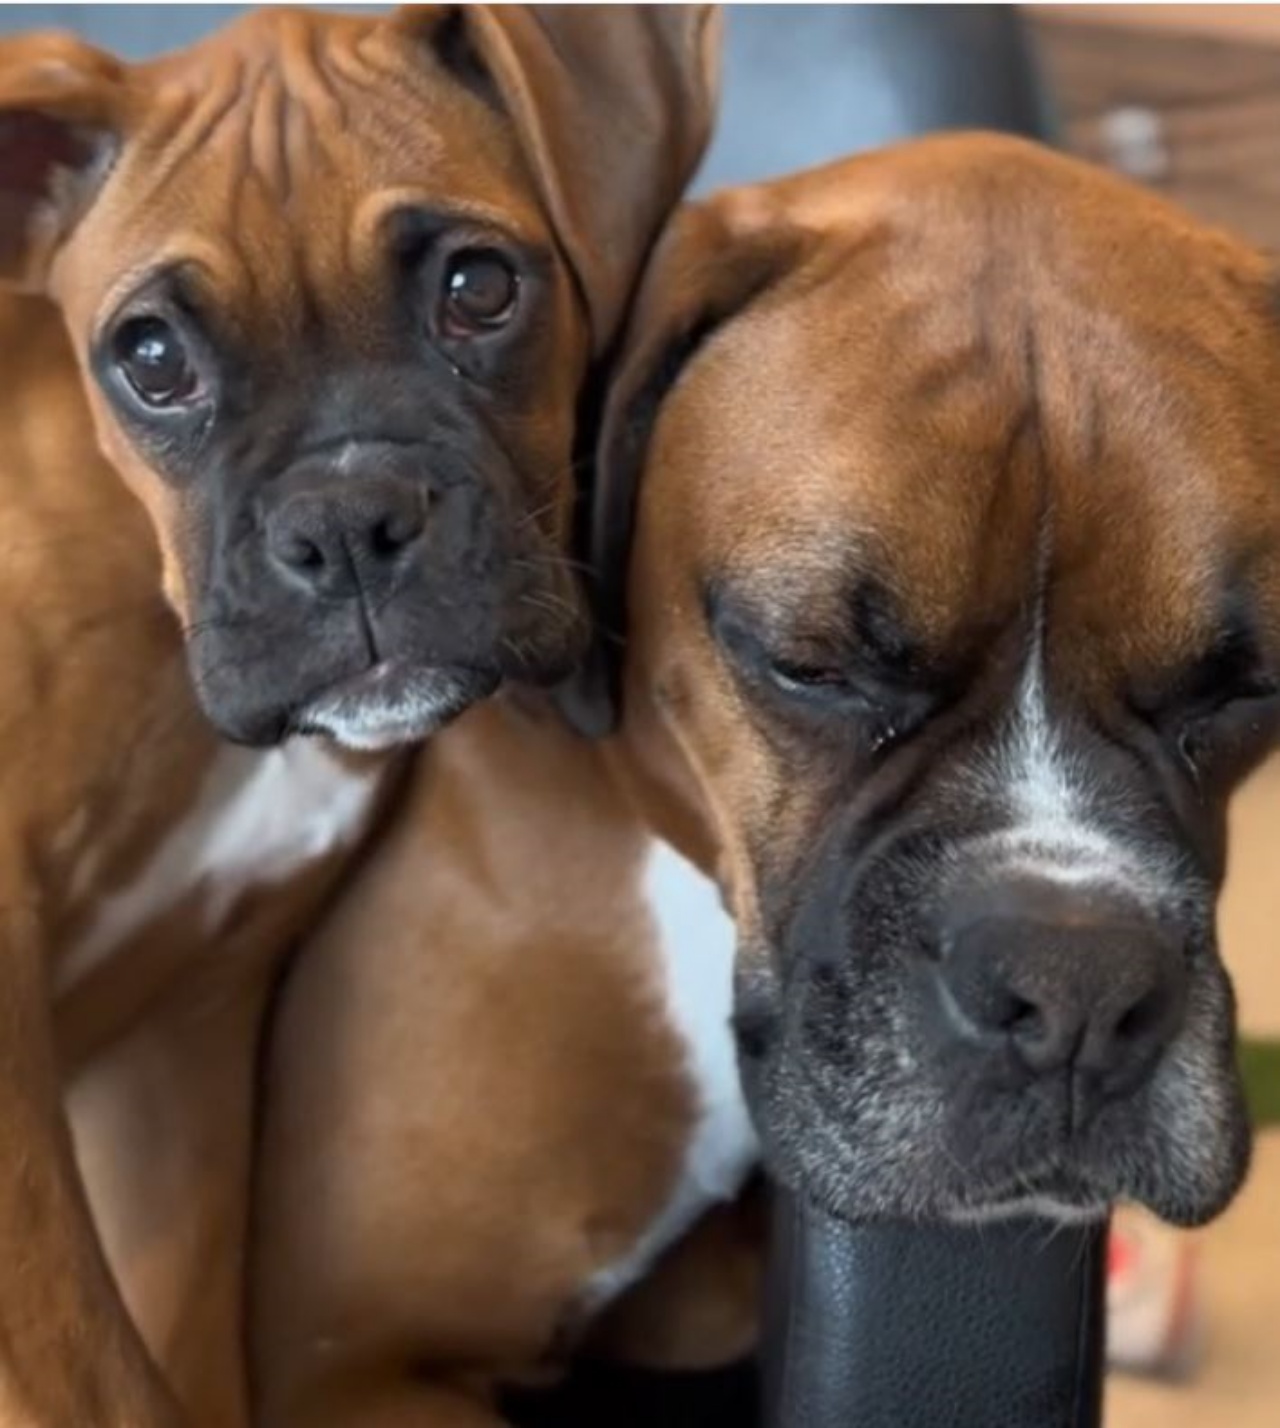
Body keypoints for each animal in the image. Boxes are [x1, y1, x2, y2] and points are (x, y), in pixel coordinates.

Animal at [0, 5, 714, 1422]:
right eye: (149, 359)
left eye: (478, 288)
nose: (344, 524)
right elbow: (104, 1375)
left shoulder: (187, 1054)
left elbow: (184, 1343)